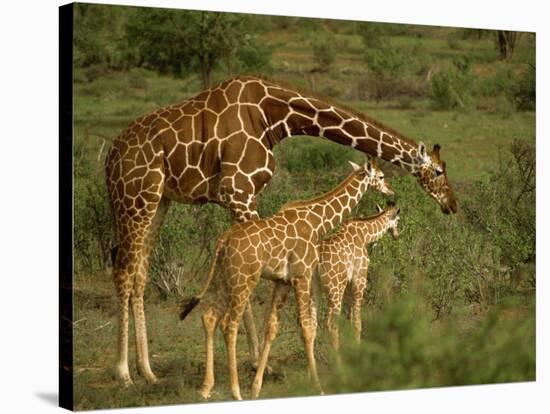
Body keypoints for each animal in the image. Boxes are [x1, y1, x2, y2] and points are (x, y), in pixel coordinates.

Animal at [180, 157, 392, 400]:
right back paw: (235, 391)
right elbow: (307, 328)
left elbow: (272, 327)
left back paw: (206, 388)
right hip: (244, 279)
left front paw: (256, 387)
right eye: (381, 176)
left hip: (226, 278)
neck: (317, 222)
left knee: (209, 316)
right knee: (229, 324)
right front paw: (317, 386)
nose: (390, 190)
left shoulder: (282, 281)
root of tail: (223, 240)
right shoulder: (302, 276)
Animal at [320, 202, 402, 350]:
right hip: (335, 288)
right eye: (398, 220)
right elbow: (357, 323)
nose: (396, 235)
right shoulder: (359, 278)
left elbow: (350, 318)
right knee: (331, 322)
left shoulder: (349, 285)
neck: (364, 235)